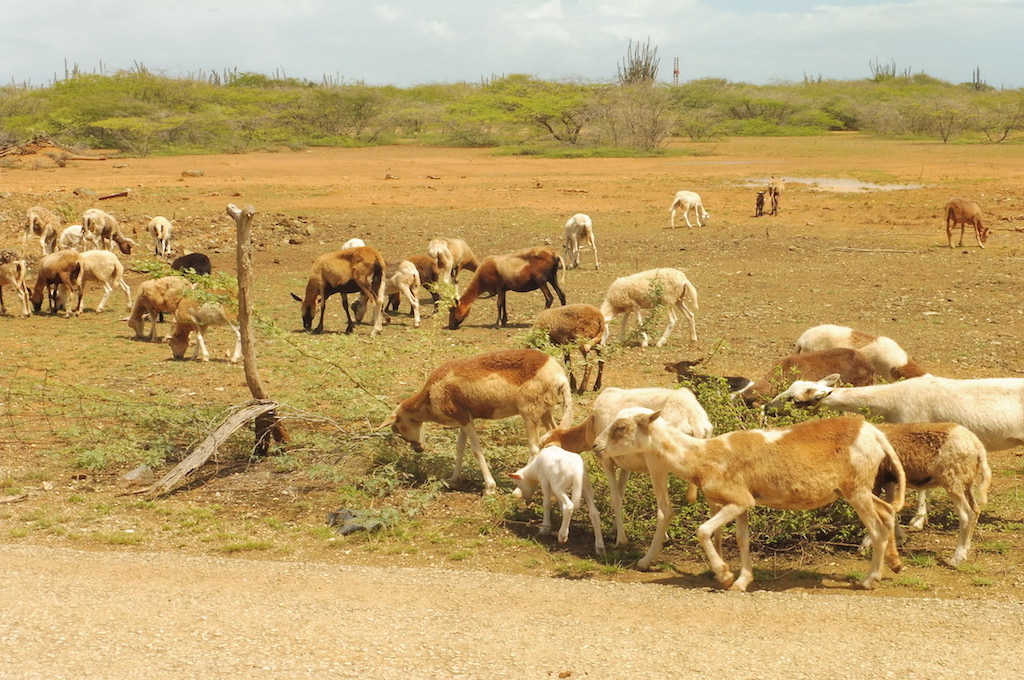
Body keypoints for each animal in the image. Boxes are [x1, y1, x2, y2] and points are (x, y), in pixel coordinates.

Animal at [385, 350, 577, 493]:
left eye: (398, 428)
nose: (418, 449)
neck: (429, 397)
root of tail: (560, 376)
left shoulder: (463, 418)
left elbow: (476, 451)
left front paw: (489, 488)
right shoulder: (464, 418)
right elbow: (460, 447)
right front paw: (453, 478)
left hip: (529, 412)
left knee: (534, 448)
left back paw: (519, 484)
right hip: (545, 410)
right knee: (554, 437)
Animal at [593, 409, 905, 589]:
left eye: (621, 427)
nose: (596, 446)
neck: (702, 457)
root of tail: (875, 433)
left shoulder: (737, 499)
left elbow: (702, 531)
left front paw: (724, 575)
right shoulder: (742, 504)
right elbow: (742, 540)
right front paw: (742, 580)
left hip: (857, 489)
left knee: (877, 530)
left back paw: (869, 580)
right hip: (858, 489)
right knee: (887, 511)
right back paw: (895, 564)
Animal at [872, 421, 991, 565]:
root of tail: (976, 445)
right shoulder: (889, 481)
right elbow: (890, 509)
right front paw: (899, 539)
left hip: (953, 480)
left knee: (967, 515)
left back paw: (957, 558)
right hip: (966, 482)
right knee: (975, 510)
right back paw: (966, 549)